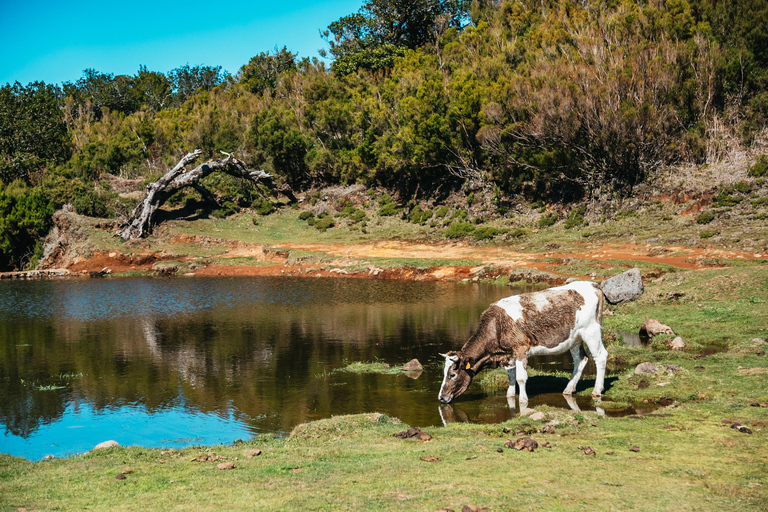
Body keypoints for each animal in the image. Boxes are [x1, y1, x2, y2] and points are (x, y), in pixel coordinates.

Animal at [438, 280, 608, 404]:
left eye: (452, 374)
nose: (441, 398)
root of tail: (592, 284)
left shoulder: (521, 348)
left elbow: (520, 377)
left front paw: (523, 400)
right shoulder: (509, 354)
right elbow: (511, 376)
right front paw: (510, 396)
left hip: (591, 330)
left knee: (600, 356)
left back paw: (596, 391)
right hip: (574, 338)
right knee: (580, 359)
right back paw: (569, 389)